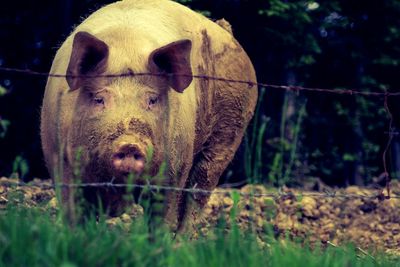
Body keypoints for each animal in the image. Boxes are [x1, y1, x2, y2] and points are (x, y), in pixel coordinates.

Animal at [39, 0, 256, 231]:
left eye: (152, 100)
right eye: (99, 99)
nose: (129, 145)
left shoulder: (174, 169)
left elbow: (163, 216)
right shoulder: (60, 161)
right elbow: (74, 214)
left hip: (228, 132)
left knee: (199, 191)